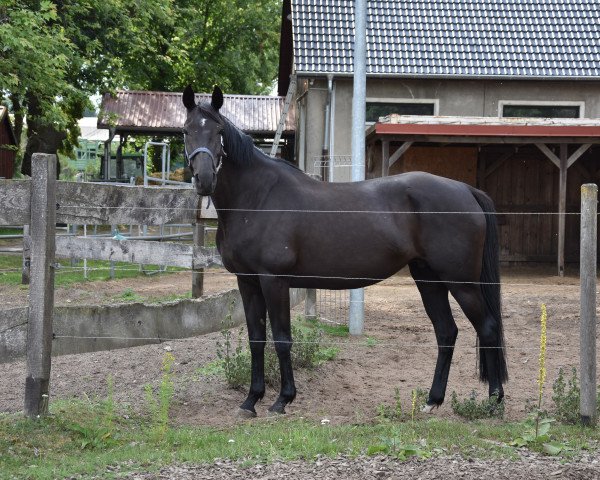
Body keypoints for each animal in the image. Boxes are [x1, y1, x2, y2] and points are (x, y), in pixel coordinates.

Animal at [182, 85, 506, 416]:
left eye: (219, 131)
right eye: (186, 131)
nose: (204, 179)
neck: (257, 199)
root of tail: (466, 190)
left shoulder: (274, 280)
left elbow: (282, 339)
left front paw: (283, 399)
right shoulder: (247, 281)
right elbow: (256, 339)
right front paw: (251, 400)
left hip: (462, 283)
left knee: (488, 328)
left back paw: (494, 401)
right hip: (429, 279)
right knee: (446, 332)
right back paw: (433, 400)